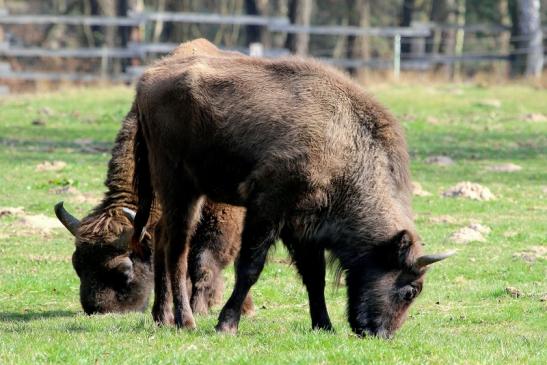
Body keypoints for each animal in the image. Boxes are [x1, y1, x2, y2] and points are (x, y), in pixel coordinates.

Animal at [130, 37, 454, 336]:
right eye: (411, 289)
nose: (381, 333)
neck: (345, 146)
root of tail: (148, 79)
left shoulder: (304, 228)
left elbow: (314, 276)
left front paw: (324, 325)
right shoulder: (267, 209)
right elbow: (250, 268)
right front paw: (226, 324)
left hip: (186, 192)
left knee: (161, 237)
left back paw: (162, 317)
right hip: (180, 187)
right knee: (177, 249)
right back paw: (186, 321)